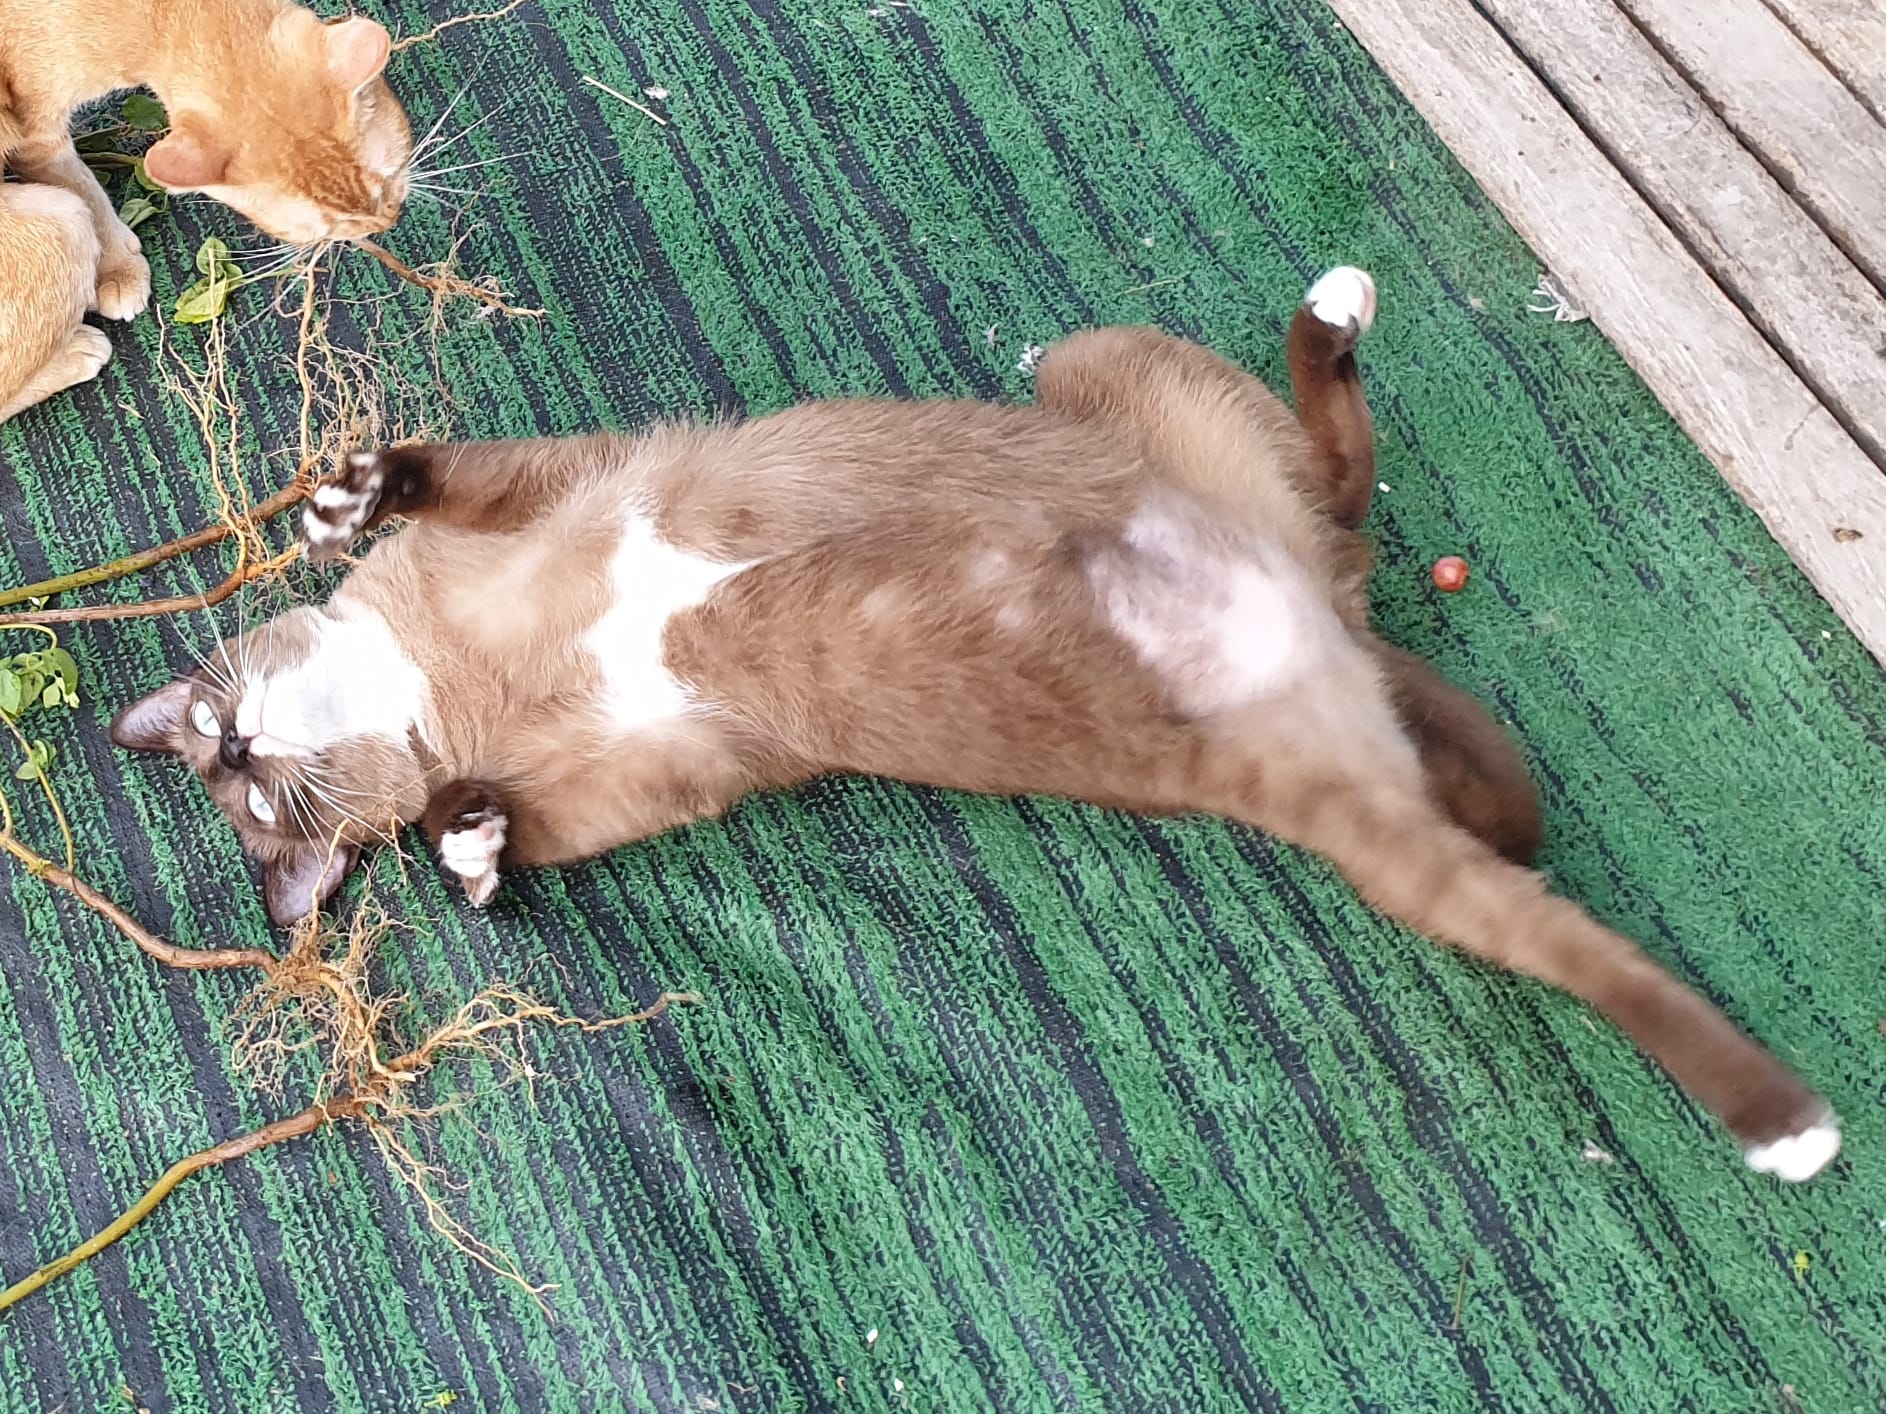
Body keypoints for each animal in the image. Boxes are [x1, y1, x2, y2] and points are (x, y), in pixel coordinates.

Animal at [0, 0, 411, 423]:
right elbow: (86, 188)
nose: (385, 223)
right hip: (62, 217)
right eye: (320, 229)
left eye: (391, 180)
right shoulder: (38, 138)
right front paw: (118, 269)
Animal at [109, 268, 1841, 1181]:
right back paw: (1784, 1124)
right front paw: (466, 848)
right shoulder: (654, 771)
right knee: (1522, 880)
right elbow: (506, 828)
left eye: (241, 772)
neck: (441, 681)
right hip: (1382, 839)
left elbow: (432, 472)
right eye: (263, 812)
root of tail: (1322, 615)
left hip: (1112, 372)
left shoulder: (557, 483)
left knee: (1340, 480)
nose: (241, 757)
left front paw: (346, 497)